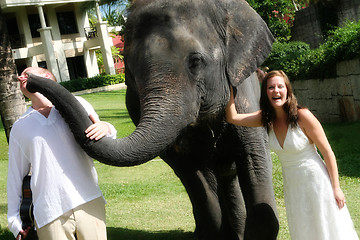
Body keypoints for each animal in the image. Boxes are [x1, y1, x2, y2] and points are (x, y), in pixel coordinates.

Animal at [26, 0, 278, 239]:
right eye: (129, 69)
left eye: (196, 61)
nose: (28, 79)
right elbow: (195, 178)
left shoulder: (244, 94)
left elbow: (254, 160)